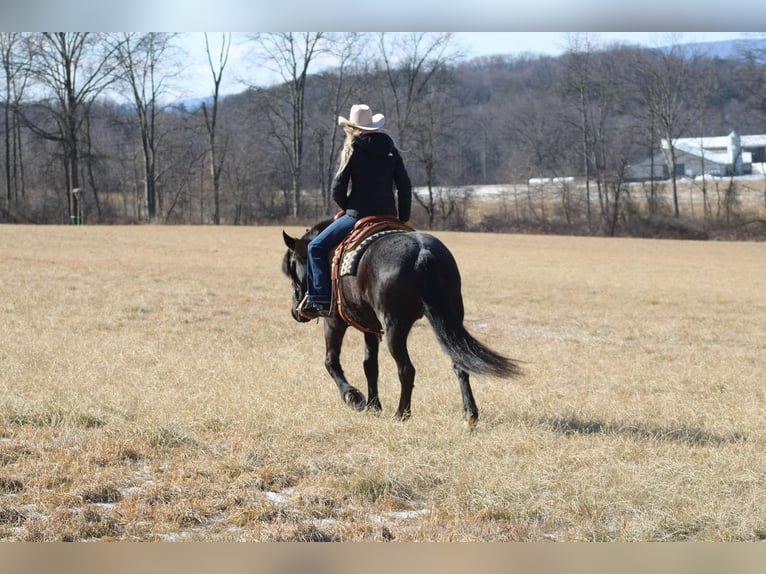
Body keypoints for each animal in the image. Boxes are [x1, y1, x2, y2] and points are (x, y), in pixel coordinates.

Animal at [284, 220, 524, 428]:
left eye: (292, 267)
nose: (296, 312)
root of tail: (423, 253)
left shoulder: (334, 321)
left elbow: (331, 361)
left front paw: (354, 397)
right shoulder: (370, 327)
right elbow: (370, 365)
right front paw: (373, 405)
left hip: (394, 327)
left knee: (406, 369)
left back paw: (401, 414)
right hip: (450, 317)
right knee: (459, 364)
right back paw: (469, 415)